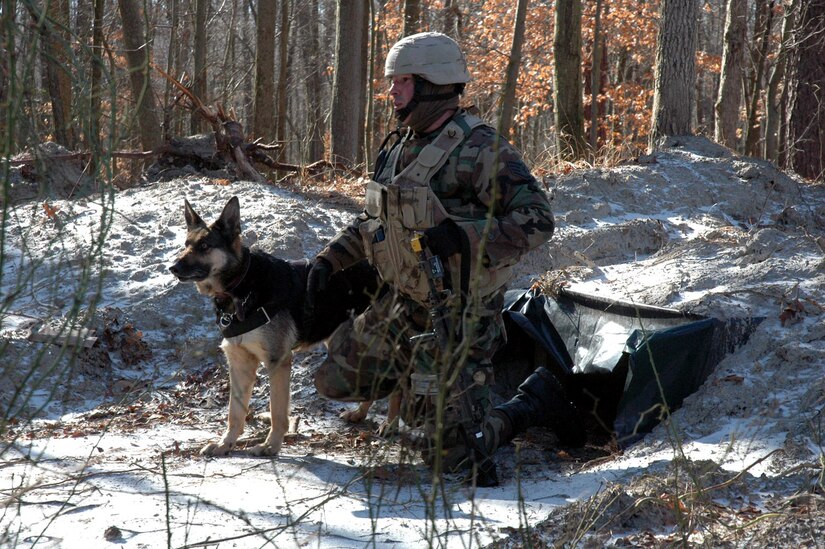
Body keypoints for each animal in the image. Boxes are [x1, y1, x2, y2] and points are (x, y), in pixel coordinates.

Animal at [170, 195, 386, 456]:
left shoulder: (278, 362)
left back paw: (390, 424)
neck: (241, 286)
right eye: (186, 244)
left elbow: (276, 411)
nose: (173, 268)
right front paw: (226, 443)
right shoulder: (239, 363)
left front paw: (271, 445)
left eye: (204, 246)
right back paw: (360, 413)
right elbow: (235, 412)